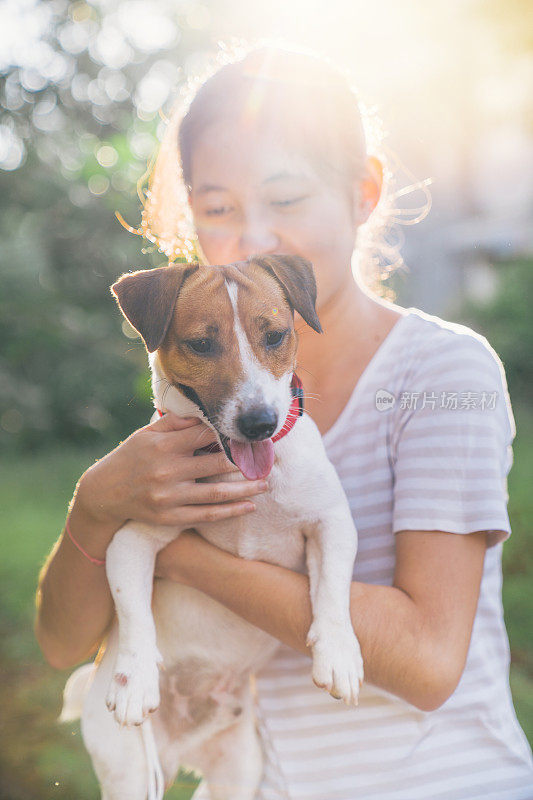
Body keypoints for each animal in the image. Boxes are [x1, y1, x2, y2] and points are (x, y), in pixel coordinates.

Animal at [61, 255, 362, 800]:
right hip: (132, 772)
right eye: (201, 344)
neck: (239, 476)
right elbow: (133, 613)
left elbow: (333, 590)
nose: (260, 423)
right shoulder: (132, 538)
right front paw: (135, 676)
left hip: (237, 770)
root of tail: (183, 752)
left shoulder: (331, 523)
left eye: (275, 336)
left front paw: (339, 655)